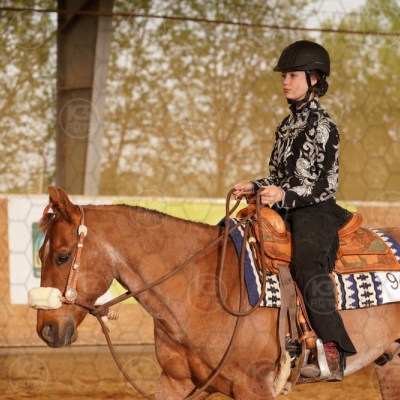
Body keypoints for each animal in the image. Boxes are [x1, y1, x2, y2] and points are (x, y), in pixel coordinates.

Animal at [31, 186, 400, 399]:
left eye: (62, 255)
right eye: (40, 255)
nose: (46, 330)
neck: (202, 287)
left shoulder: (254, 387)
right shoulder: (176, 382)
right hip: (390, 364)